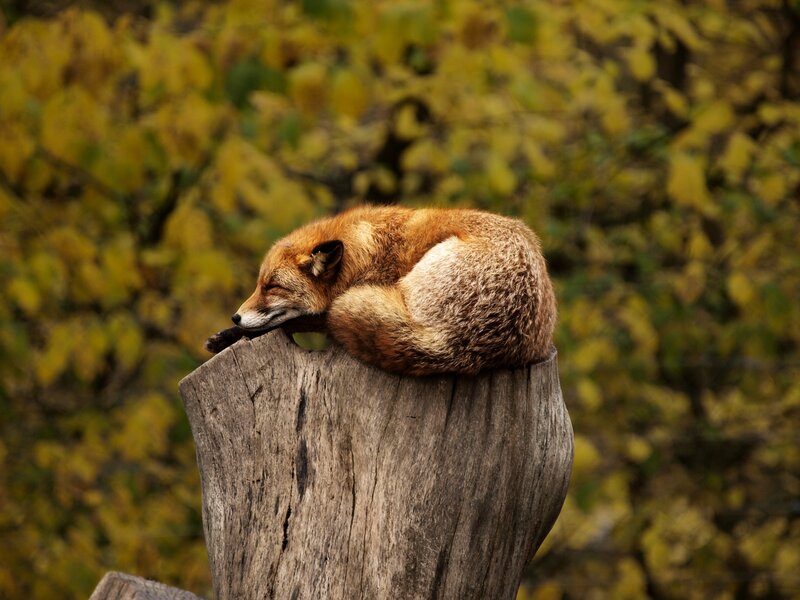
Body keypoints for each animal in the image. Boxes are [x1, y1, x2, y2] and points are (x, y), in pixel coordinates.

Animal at [206, 205, 557, 376]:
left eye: (272, 287)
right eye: (258, 284)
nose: (235, 316)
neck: (364, 254)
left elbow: (298, 320)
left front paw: (232, 335)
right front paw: (226, 335)